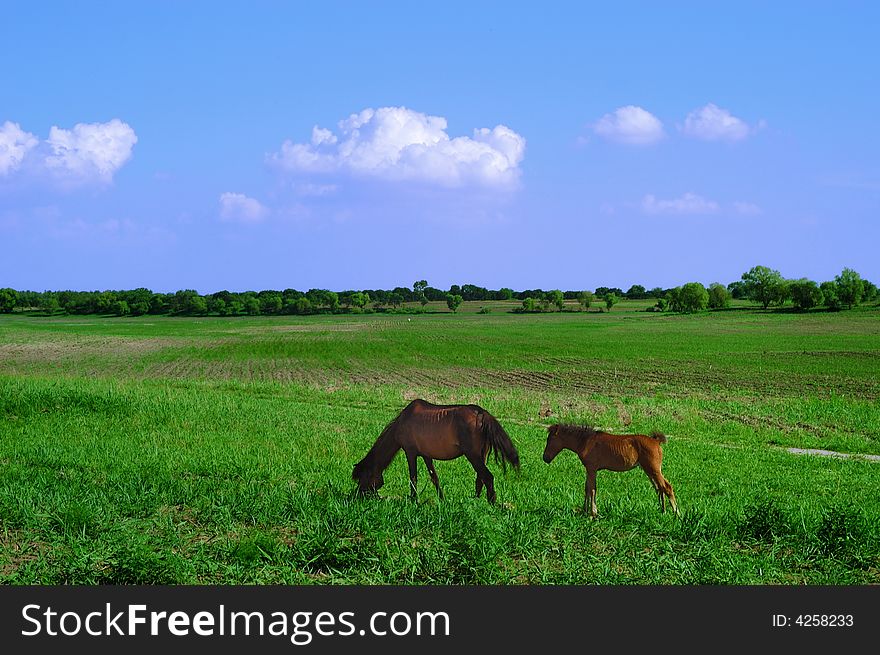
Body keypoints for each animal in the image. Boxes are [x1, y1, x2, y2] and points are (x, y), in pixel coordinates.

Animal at [352, 400, 520, 502]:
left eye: (363, 478)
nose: (356, 496)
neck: (401, 422)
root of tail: (481, 413)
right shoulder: (426, 455)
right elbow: (434, 478)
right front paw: (442, 499)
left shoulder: (410, 452)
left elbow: (413, 478)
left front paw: (414, 500)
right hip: (481, 455)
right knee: (480, 479)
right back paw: (475, 500)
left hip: (473, 455)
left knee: (487, 477)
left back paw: (490, 503)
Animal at [544, 426, 680, 516]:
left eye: (550, 440)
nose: (545, 458)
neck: (586, 441)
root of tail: (656, 441)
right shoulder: (589, 469)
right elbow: (587, 488)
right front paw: (584, 511)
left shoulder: (592, 468)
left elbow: (592, 489)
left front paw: (593, 513)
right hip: (649, 470)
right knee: (659, 488)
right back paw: (663, 511)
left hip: (654, 469)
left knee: (667, 487)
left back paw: (676, 513)